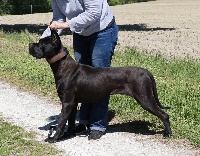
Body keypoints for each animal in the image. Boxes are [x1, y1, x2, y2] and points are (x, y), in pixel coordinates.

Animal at [28, 30, 172, 143]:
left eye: (41, 43)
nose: (30, 45)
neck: (62, 65)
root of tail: (146, 71)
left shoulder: (67, 102)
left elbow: (61, 122)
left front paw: (54, 138)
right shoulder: (72, 103)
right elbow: (70, 121)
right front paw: (67, 135)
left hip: (145, 98)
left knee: (164, 115)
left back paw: (168, 134)